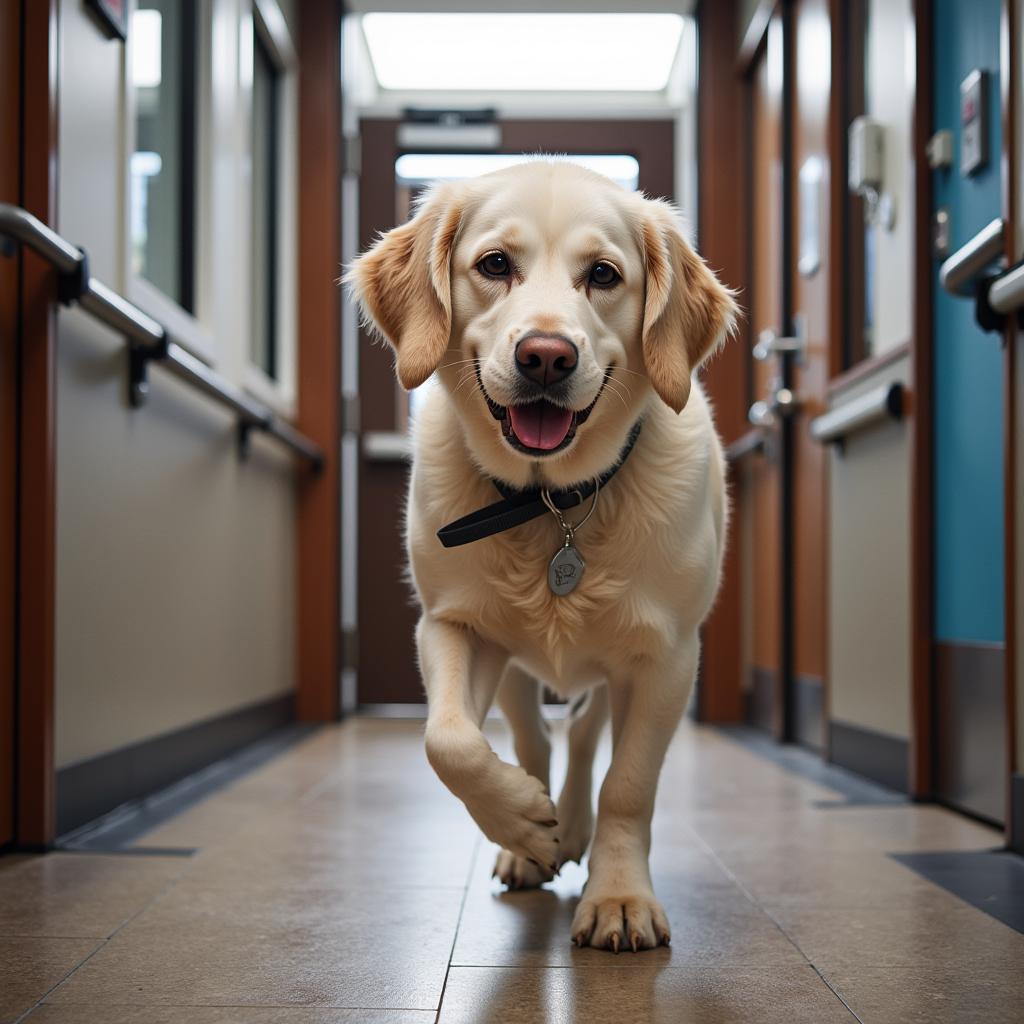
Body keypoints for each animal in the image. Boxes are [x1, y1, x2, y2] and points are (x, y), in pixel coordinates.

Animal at [350, 159, 737, 950]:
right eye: (495, 265)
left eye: (604, 275)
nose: (547, 357)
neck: (552, 505)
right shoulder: (451, 626)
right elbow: (448, 742)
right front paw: (524, 822)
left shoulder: (666, 657)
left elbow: (629, 785)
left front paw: (619, 897)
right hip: (510, 665)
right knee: (531, 737)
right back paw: (533, 837)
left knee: (585, 737)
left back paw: (575, 827)